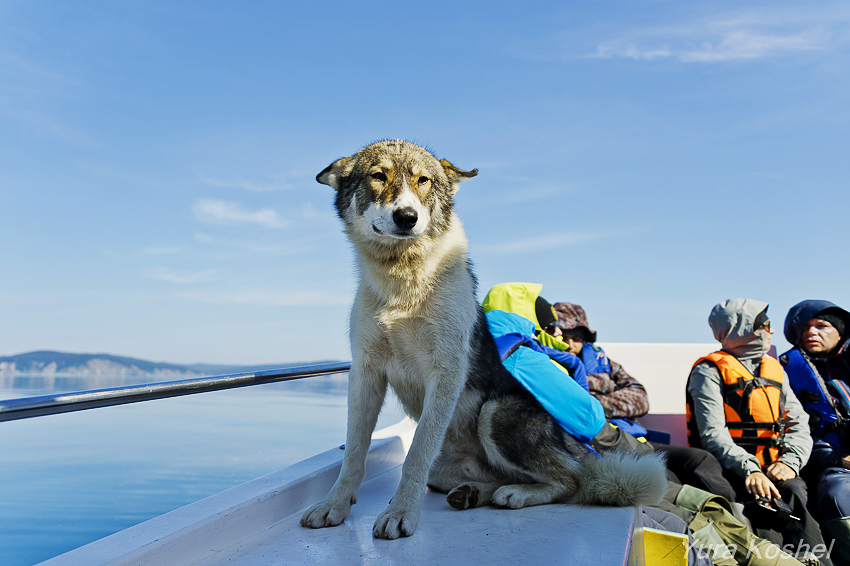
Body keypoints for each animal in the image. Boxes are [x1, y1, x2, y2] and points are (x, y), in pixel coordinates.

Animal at [302, 141, 664, 540]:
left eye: (423, 180)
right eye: (378, 176)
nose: (407, 217)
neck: (403, 283)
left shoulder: (446, 372)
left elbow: (415, 455)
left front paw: (400, 513)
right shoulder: (366, 373)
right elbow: (354, 452)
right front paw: (334, 505)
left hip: (497, 413)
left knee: (571, 481)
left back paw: (516, 495)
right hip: (446, 468)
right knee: (492, 477)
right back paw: (474, 493)